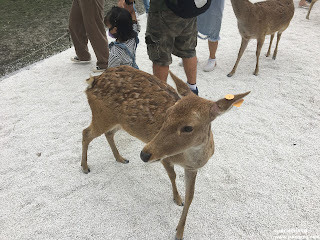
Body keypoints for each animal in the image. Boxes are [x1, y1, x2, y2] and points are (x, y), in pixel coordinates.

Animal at [80, 65, 250, 240]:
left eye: (188, 127)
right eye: (167, 114)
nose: (144, 154)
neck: (188, 158)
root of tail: (93, 81)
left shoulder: (192, 168)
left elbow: (191, 196)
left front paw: (179, 231)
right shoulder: (164, 158)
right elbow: (172, 176)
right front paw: (177, 199)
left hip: (118, 122)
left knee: (108, 134)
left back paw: (120, 158)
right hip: (102, 115)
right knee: (86, 132)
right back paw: (85, 167)